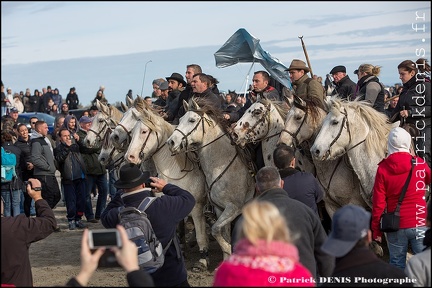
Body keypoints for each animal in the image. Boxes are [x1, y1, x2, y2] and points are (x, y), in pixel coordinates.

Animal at [166, 98, 256, 260]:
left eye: (192, 120)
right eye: (180, 119)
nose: (171, 142)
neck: (222, 165)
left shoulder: (234, 207)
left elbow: (214, 229)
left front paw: (228, 248)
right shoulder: (220, 209)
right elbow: (223, 232)